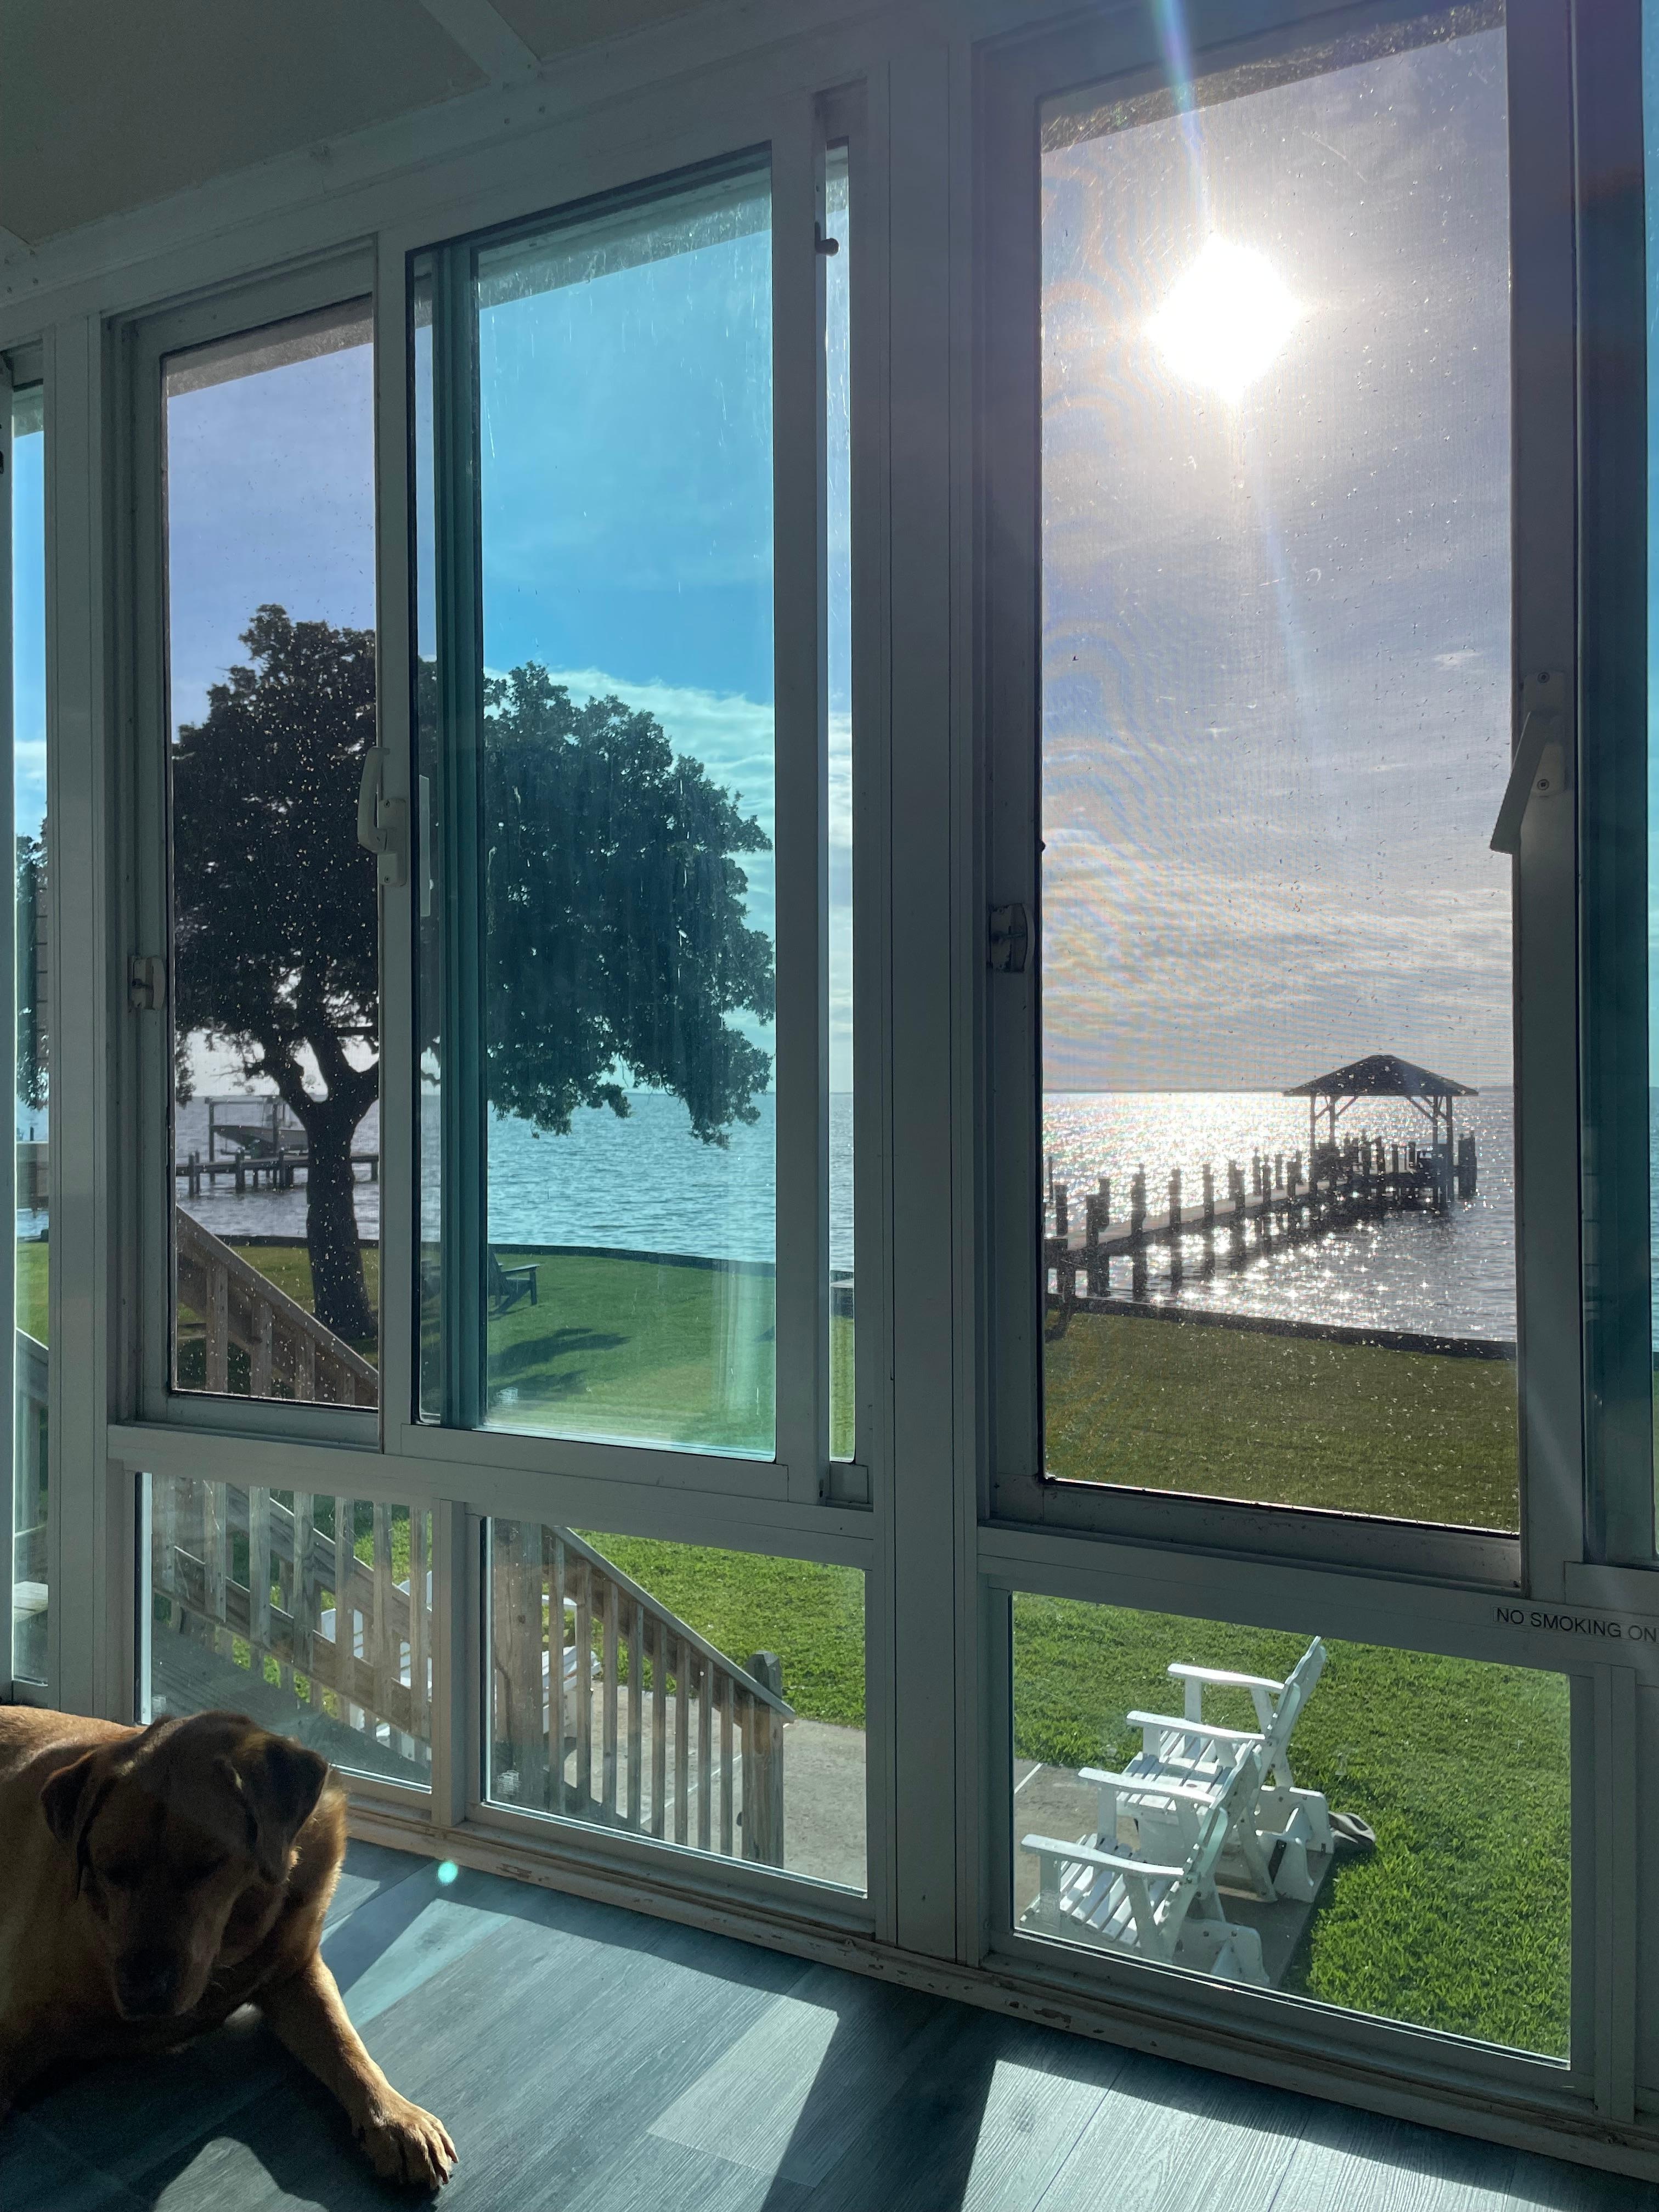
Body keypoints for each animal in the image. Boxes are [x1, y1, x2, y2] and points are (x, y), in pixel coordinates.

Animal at [0, 1705, 456, 2191]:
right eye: (110, 1870)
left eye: (206, 1866)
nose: (142, 1994)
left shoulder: (295, 1973)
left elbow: (344, 2041)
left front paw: (397, 2119)